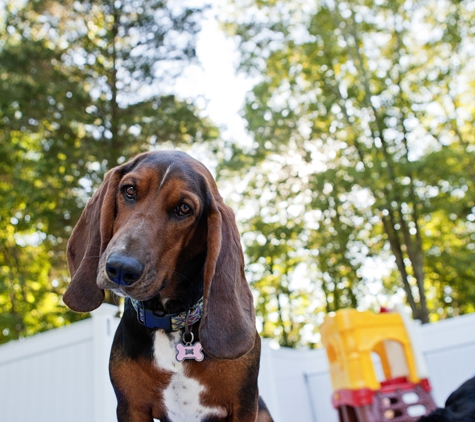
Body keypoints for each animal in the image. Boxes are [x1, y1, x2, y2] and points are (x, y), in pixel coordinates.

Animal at [62, 152, 274, 422]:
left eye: (183, 209)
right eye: (129, 190)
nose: (120, 269)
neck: (171, 322)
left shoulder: (243, 405)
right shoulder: (131, 406)